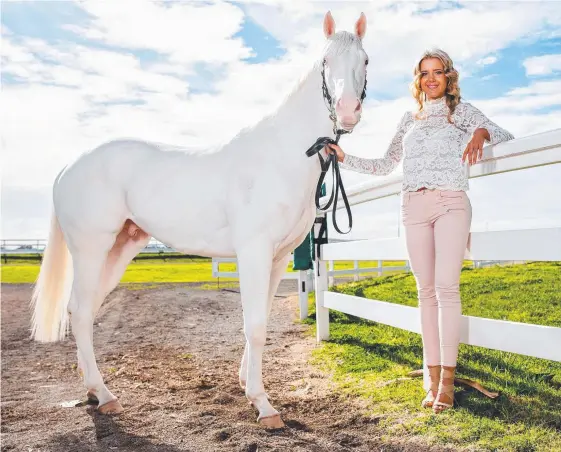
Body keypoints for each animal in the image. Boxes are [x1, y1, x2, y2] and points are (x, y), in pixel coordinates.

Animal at [32, 10, 370, 428]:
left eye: (365, 60)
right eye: (325, 61)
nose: (348, 110)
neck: (281, 155)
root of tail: (68, 166)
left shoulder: (276, 259)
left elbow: (260, 319)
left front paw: (246, 384)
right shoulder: (254, 252)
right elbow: (255, 326)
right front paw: (263, 404)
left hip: (120, 248)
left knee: (84, 309)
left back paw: (94, 391)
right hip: (92, 248)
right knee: (80, 312)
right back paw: (106, 394)